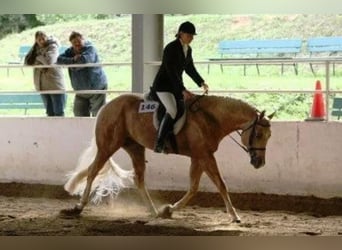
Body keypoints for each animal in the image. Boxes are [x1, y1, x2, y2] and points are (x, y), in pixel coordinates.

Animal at [60, 94, 274, 223]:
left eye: (268, 136)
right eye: (258, 134)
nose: (259, 163)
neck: (210, 118)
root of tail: (106, 106)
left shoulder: (199, 157)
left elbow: (194, 187)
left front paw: (169, 210)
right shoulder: (205, 156)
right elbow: (221, 185)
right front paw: (235, 216)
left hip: (135, 148)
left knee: (139, 179)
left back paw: (154, 212)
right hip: (108, 146)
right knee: (93, 172)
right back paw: (78, 207)